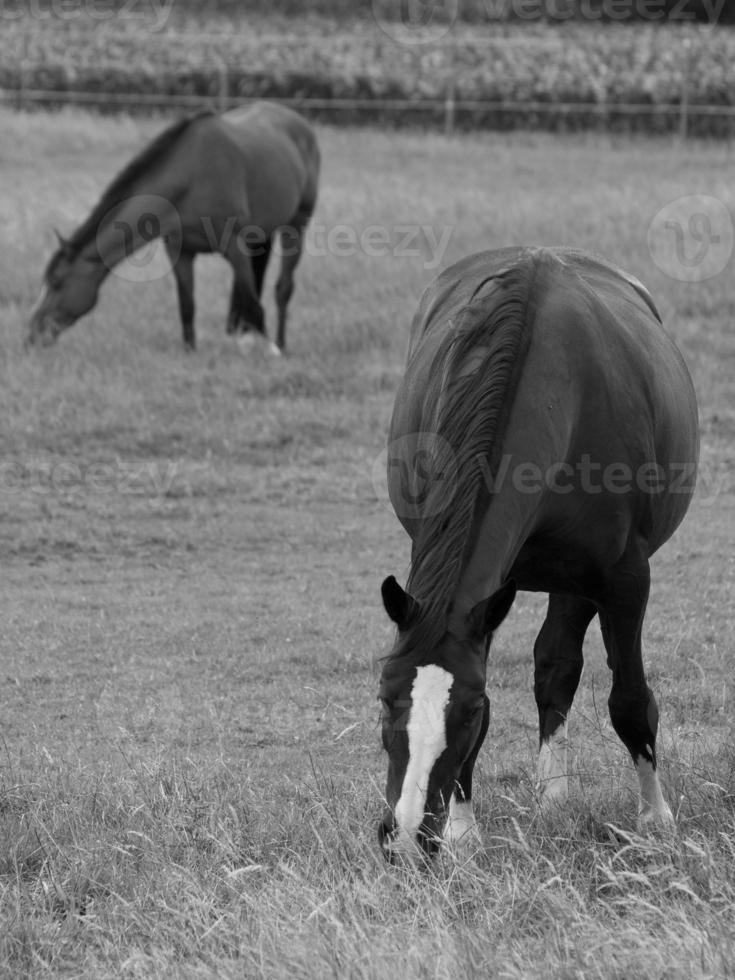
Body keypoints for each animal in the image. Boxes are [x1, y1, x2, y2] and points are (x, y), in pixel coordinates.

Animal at [27, 99, 320, 350]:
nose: (31, 335)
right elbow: (187, 305)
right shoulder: (180, 251)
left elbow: (253, 303)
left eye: (57, 283)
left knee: (282, 288)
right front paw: (190, 351)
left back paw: (279, 343)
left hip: (296, 226)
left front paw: (266, 349)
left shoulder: (235, 247)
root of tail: (299, 122)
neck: (191, 178)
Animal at [380, 249, 700, 860]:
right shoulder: (479, 599)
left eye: (469, 711)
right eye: (385, 700)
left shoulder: (623, 579)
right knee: (554, 666)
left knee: (560, 666)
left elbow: (630, 701)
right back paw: (552, 795)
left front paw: (655, 818)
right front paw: (464, 830)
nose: (406, 836)